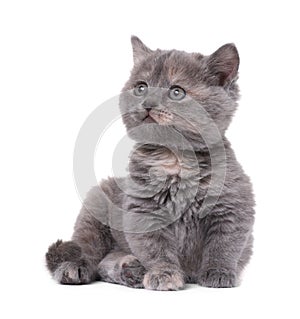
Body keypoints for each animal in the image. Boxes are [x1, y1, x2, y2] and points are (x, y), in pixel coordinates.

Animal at [46, 36, 255, 292]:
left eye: (177, 92)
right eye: (141, 87)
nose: (147, 103)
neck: (175, 160)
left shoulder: (232, 207)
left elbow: (224, 244)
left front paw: (219, 272)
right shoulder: (143, 211)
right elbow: (156, 249)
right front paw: (164, 274)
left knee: (106, 262)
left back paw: (130, 270)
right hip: (96, 205)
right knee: (88, 250)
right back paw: (78, 268)